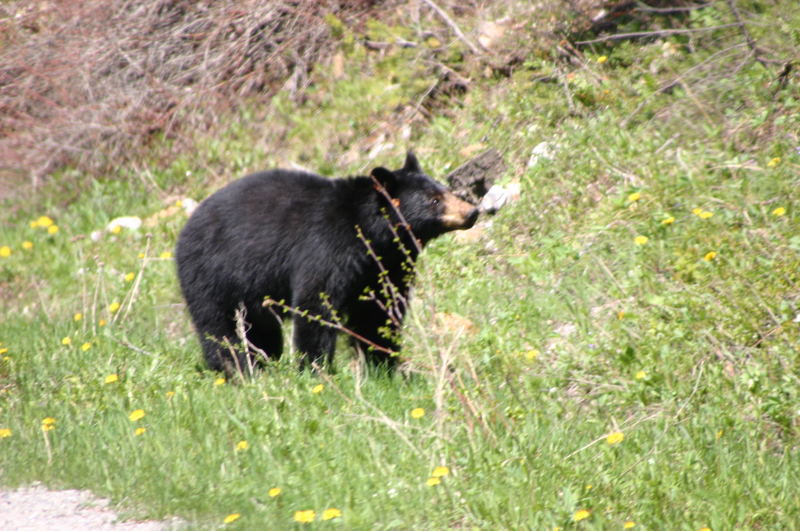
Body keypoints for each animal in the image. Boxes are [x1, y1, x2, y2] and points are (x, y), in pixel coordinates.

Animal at [174, 152, 478, 376]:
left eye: (446, 190)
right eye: (434, 200)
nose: (472, 212)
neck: (370, 234)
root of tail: (184, 231)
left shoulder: (385, 265)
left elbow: (378, 312)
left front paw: (383, 365)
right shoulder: (326, 248)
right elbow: (317, 303)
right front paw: (314, 368)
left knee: (261, 330)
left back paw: (264, 364)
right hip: (212, 275)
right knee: (219, 328)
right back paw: (236, 370)